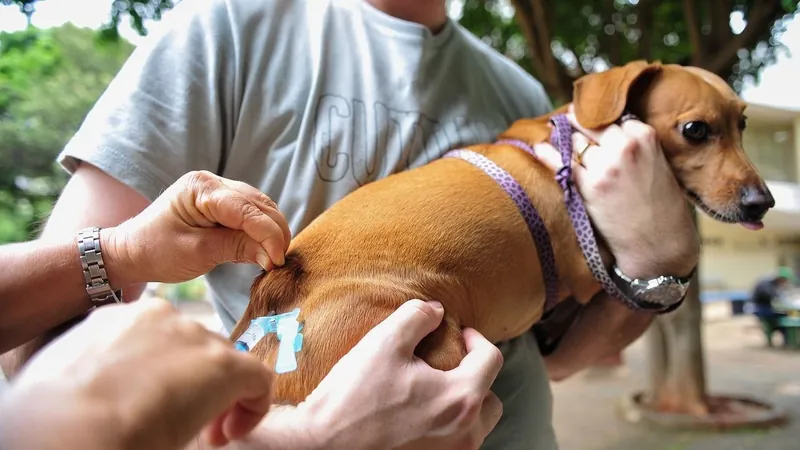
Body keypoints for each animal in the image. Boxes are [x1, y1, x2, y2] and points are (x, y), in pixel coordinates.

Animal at [230, 60, 776, 404]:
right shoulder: (589, 275)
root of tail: (277, 290)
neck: (570, 147)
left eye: (744, 123)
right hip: (434, 340)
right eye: (696, 130)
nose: (763, 202)